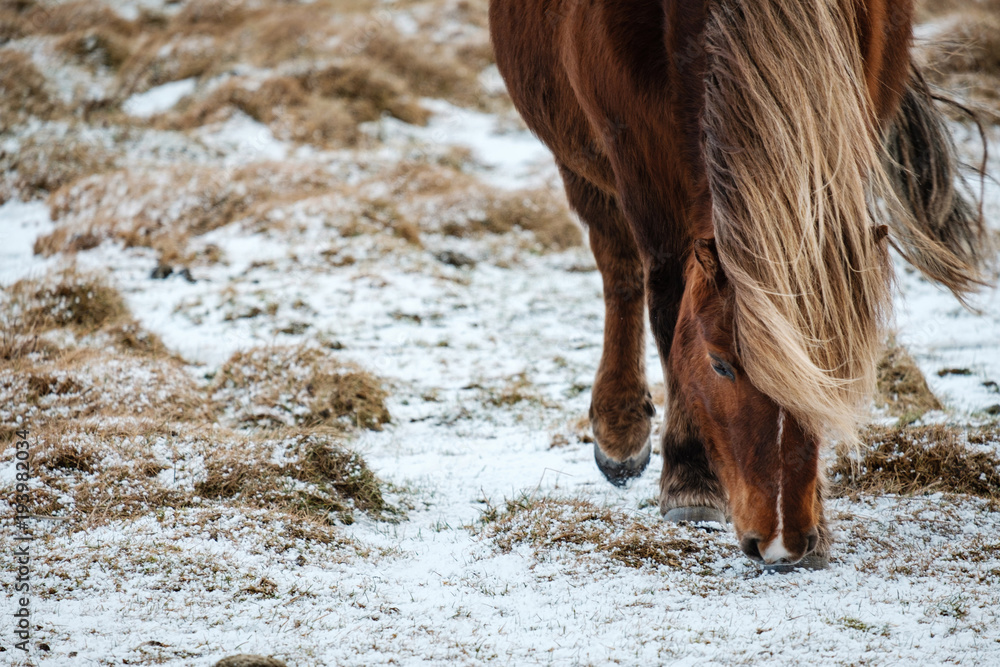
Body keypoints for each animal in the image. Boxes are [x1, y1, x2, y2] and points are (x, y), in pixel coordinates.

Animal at [489, 0, 989, 569]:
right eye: (719, 365)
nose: (781, 543)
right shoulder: (635, 153)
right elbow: (667, 302)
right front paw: (688, 478)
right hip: (580, 158)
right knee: (619, 268)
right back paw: (620, 427)